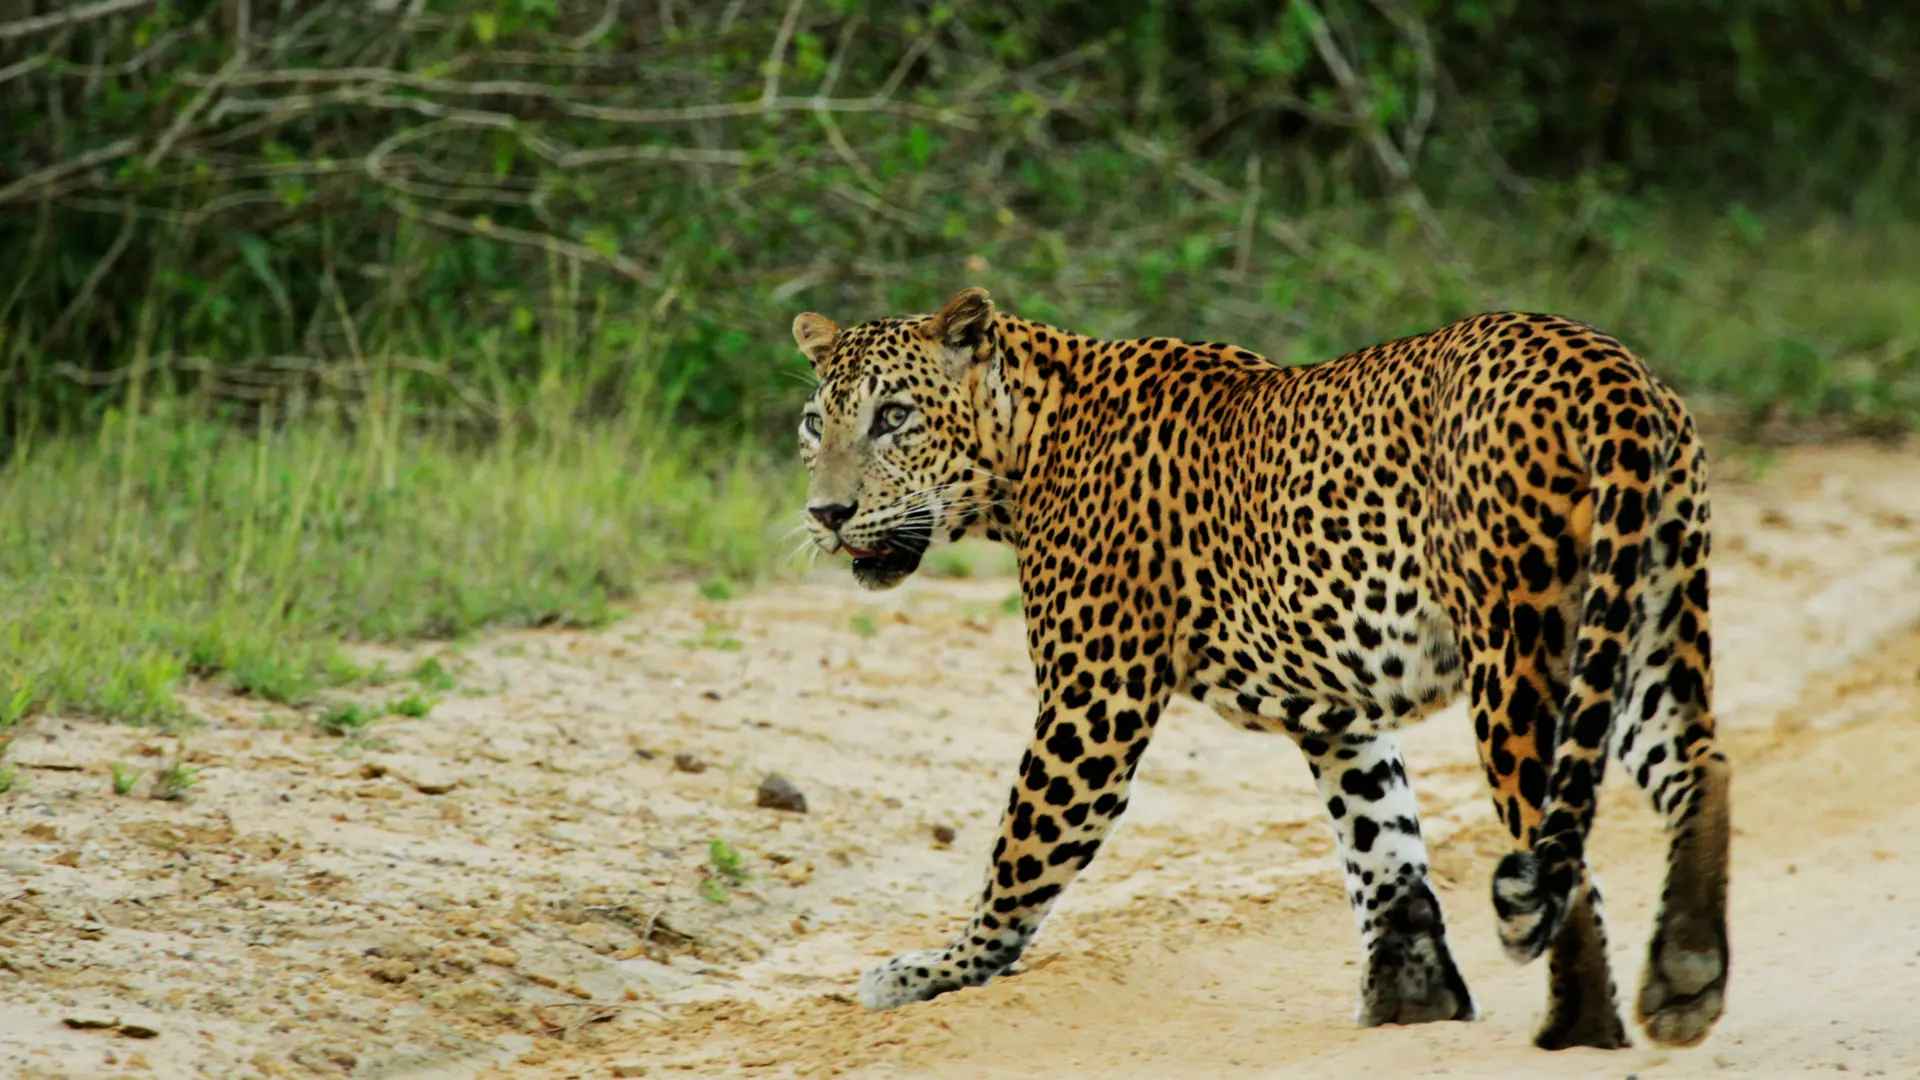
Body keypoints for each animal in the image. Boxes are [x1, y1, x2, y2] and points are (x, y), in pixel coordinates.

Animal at [790, 286, 1731, 1051]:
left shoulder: (1093, 698)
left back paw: (1582, 1027)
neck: (1027, 446)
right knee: (1699, 765)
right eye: (813, 423)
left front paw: (938, 971)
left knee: (1558, 839)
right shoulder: (1335, 708)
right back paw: (1685, 979)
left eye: (893, 416)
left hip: (1521, 646)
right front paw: (1413, 999)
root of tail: (1604, 364)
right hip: (1645, 615)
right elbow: (1381, 840)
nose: (825, 514)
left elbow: (1022, 855)